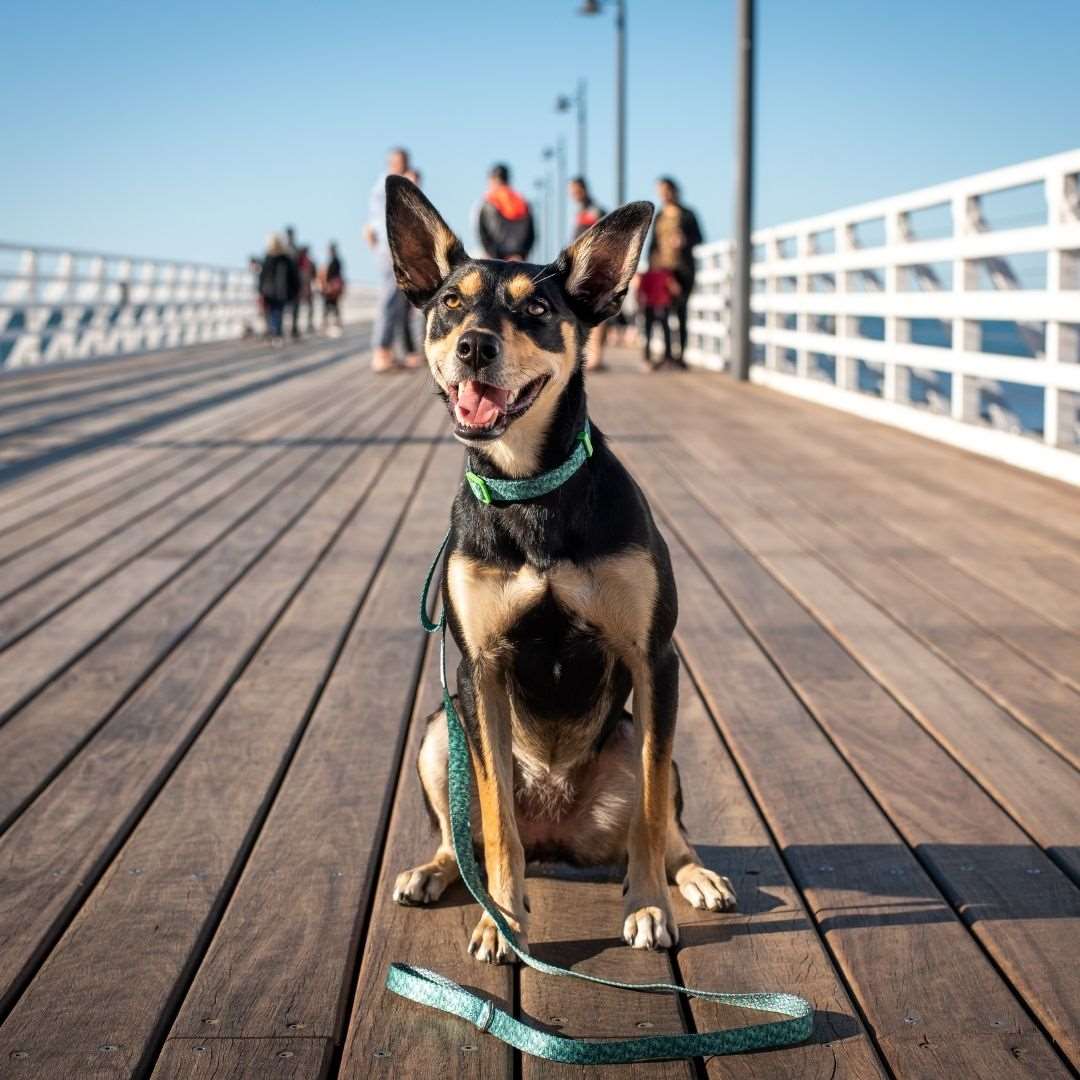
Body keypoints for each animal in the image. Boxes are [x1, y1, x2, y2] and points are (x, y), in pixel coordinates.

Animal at [382, 174, 734, 963]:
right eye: (451, 303)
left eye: (537, 309)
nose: (474, 346)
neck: (529, 488)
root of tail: (558, 829)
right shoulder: (479, 669)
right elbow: (494, 824)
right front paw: (501, 920)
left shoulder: (654, 658)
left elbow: (651, 813)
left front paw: (648, 906)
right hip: (441, 728)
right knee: (467, 830)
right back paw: (437, 871)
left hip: (633, 734)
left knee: (662, 818)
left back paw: (693, 876)